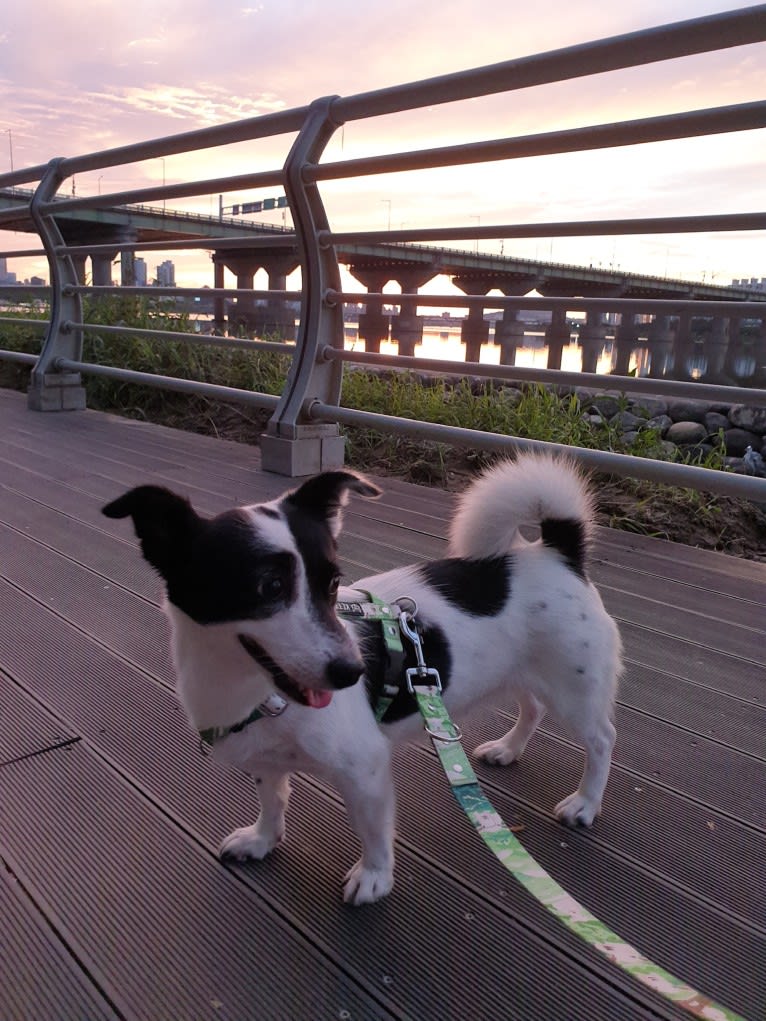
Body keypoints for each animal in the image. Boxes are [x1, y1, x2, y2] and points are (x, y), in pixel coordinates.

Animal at [102, 453, 625, 902]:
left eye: (333, 583)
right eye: (268, 587)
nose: (352, 672)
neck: (255, 692)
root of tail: (556, 552)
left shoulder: (365, 769)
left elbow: (372, 831)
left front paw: (374, 877)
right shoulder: (266, 762)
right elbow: (273, 801)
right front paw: (263, 839)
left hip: (575, 688)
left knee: (601, 739)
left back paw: (585, 803)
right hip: (525, 674)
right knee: (531, 707)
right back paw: (508, 749)